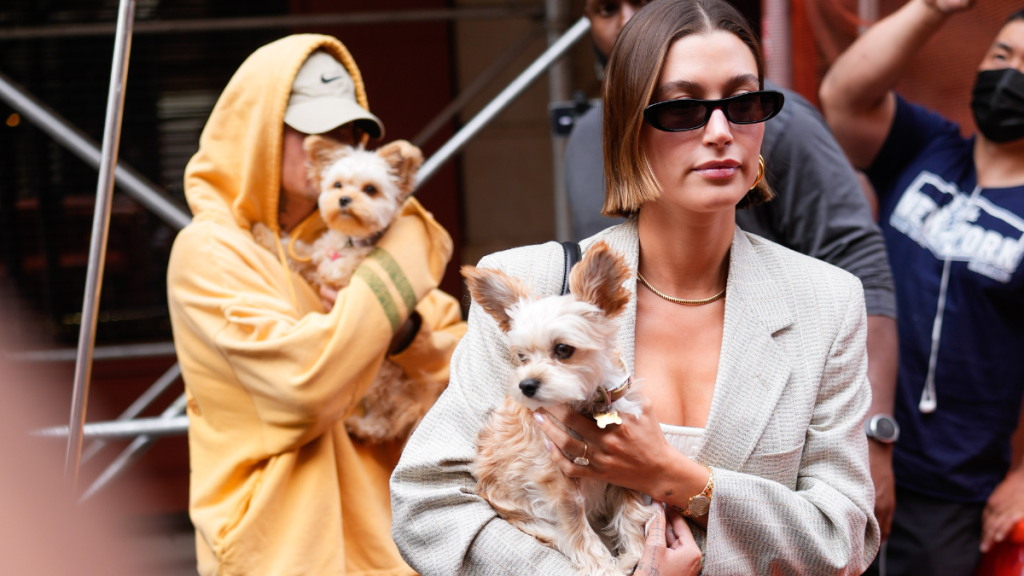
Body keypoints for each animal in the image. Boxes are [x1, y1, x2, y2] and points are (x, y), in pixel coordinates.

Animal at [251, 135, 440, 444]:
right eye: (338, 185)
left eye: (370, 189)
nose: (344, 199)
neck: (350, 242)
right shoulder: (316, 256)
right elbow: (296, 251)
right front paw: (265, 234)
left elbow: (343, 272)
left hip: (381, 378)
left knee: (385, 424)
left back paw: (360, 427)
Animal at [462, 240, 647, 573]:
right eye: (522, 356)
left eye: (563, 349)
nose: (526, 385)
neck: (585, 404)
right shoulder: (556, 481)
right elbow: (578, 528)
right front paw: (603, 568)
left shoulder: (628, 470)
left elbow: (629, 512)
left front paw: (635, 554)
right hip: (532, 521)